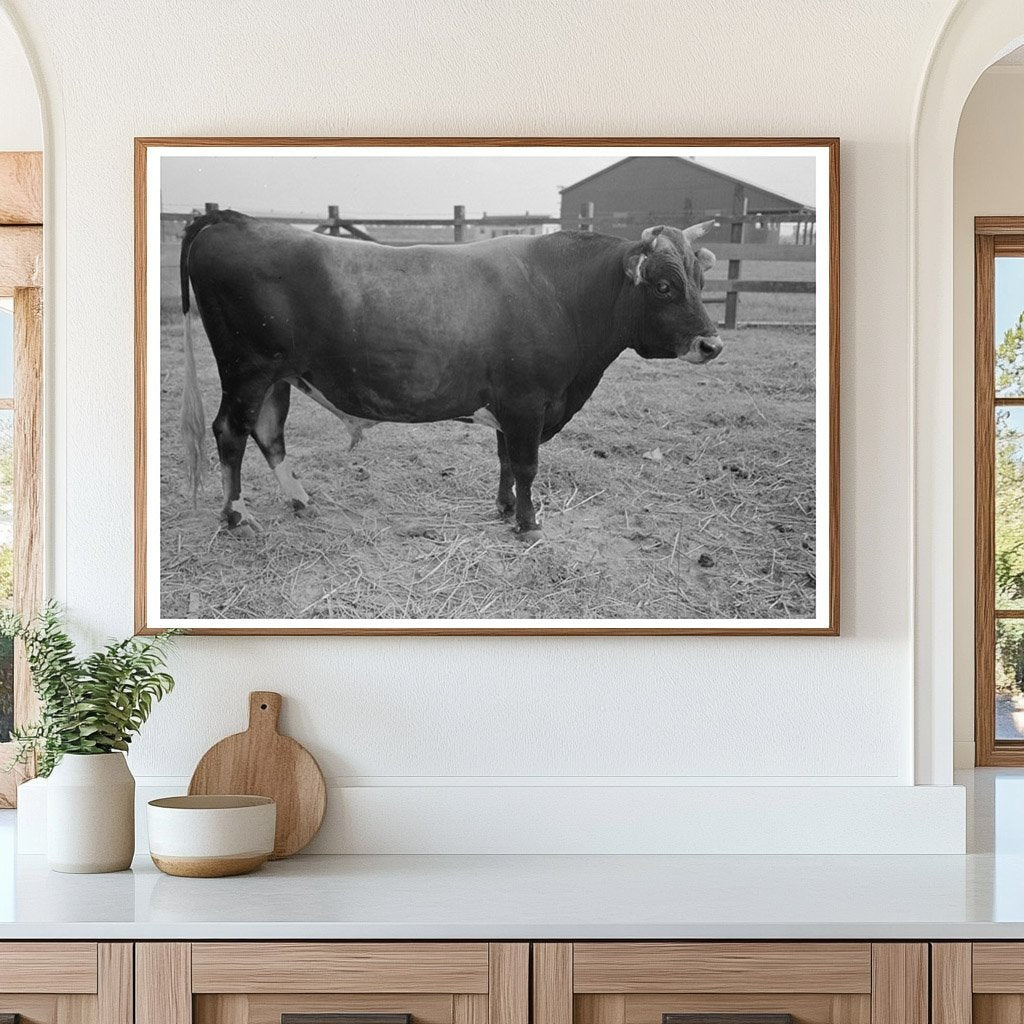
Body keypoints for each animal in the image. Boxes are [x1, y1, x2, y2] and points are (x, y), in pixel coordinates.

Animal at [178, 210, 723, 539]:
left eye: (700, 279)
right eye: (664, 285)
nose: (712, 345)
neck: (562, 293)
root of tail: (234, 219)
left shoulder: (510, 406)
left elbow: (506, 461)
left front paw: (505, 508)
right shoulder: (527, 403)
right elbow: (527, 465)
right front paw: (528, 524)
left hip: (277, 376)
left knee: (268, 433)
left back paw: (299, 500)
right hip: (246, 370)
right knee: (231, 432)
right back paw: (235, 513)